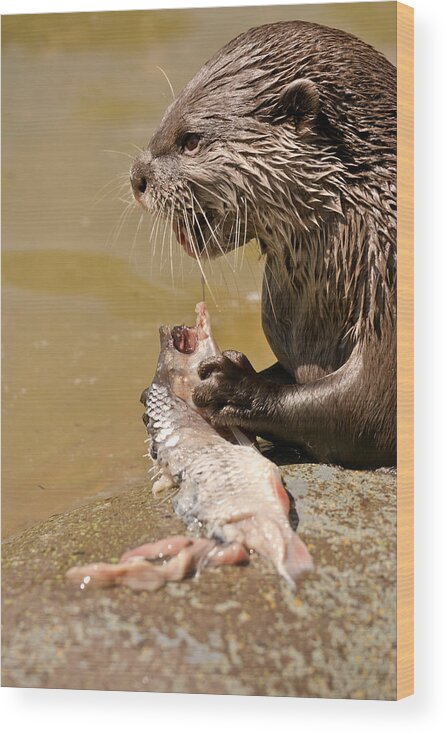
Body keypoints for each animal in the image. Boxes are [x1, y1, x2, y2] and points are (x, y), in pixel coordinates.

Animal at [131, 24, 398, 472]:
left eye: (190, 141)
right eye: (165, 123)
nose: (137, 176)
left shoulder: (390, 294)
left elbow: (365, 408)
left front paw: (234, 386)